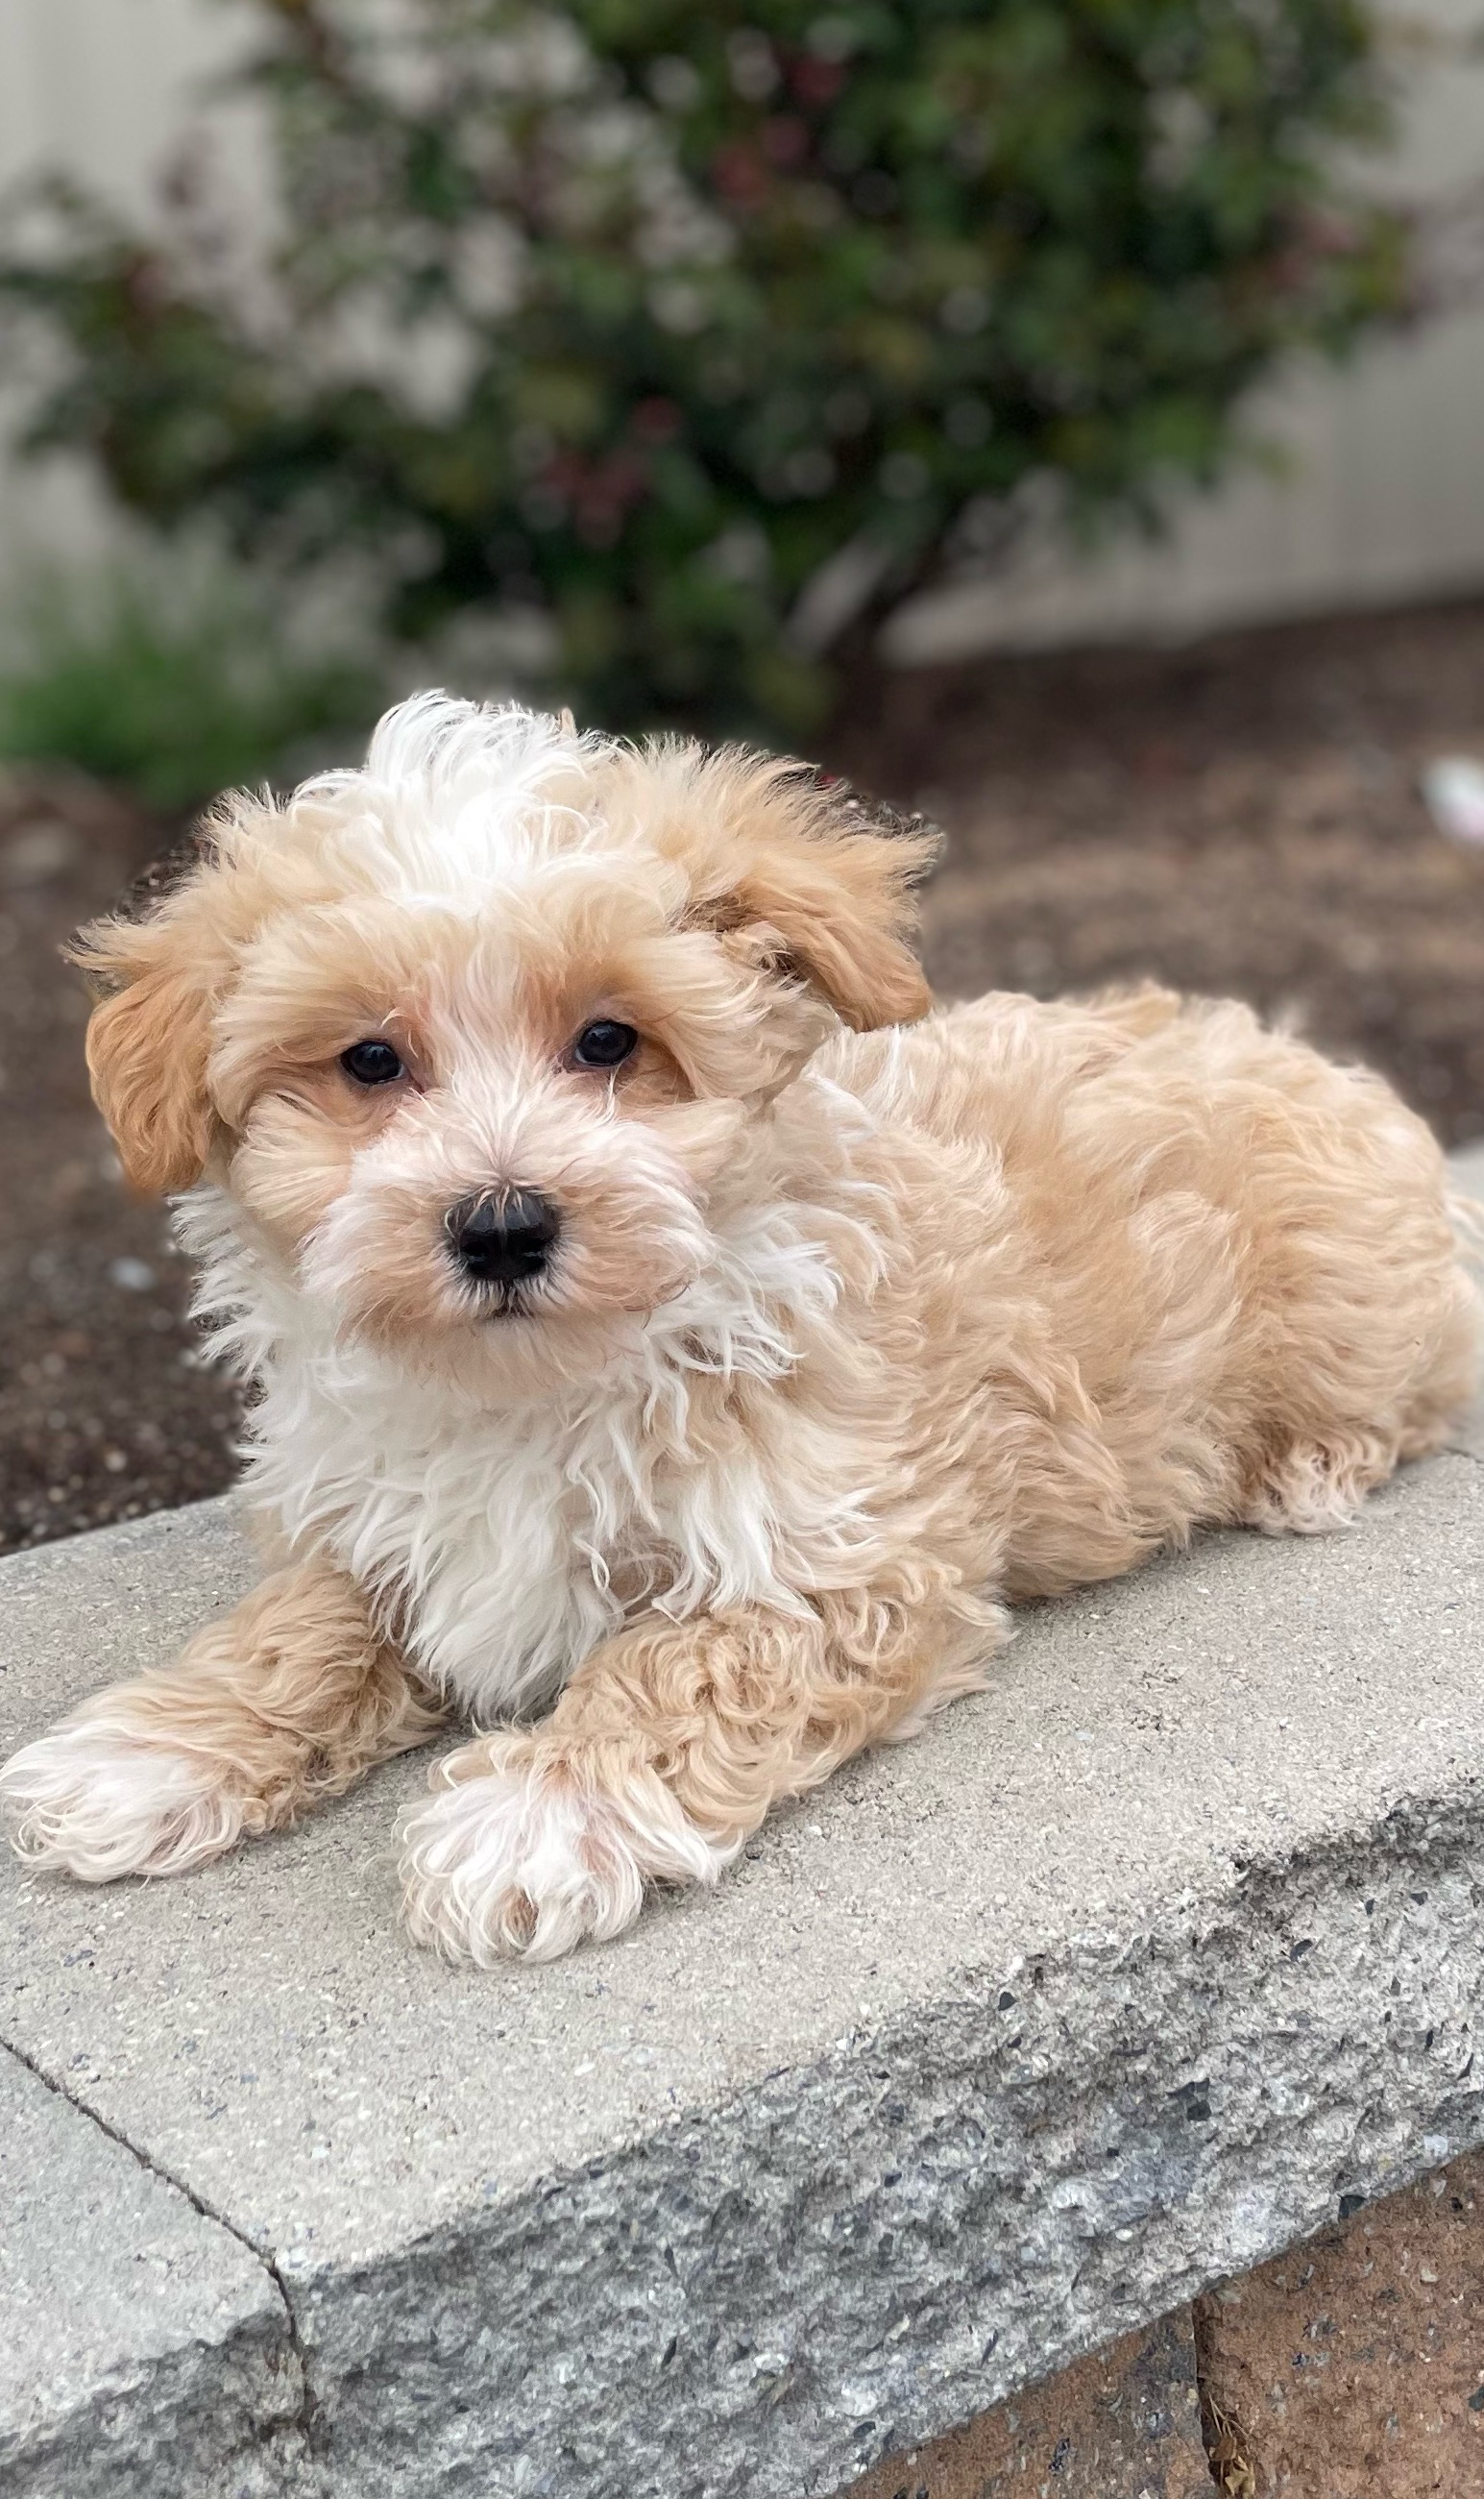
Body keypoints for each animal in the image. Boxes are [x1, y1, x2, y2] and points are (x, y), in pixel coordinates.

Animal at [6, 695, 1469, 1959]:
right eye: (370, 1061)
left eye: (609, 1041)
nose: (502, 1224)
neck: (542, 1384)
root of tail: (1299, 1049)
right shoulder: (375, 1518)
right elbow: (297, 1627)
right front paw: (152, 1747)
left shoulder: (841, 1554)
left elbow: (681, 1667)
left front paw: (541, 1809)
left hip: (1353, 1299)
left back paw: (1306, 1466)